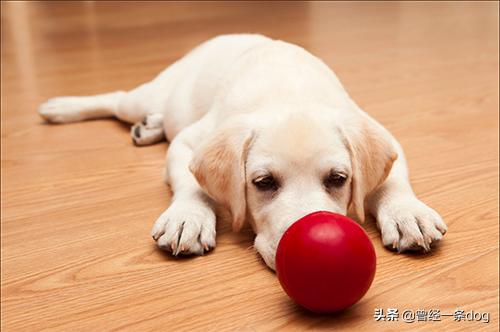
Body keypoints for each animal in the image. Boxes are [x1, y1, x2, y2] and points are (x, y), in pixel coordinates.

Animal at [38, 33, 446, 270]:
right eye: (263, 182)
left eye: (338, 179)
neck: (288, 91)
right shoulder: (190, 142)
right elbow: (191, 184)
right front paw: (187, 217)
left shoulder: (381, 134)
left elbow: (393, 181)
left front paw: (408, 213)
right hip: (150, 95)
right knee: (118, 99)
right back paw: (61, 108)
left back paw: (148, 127)